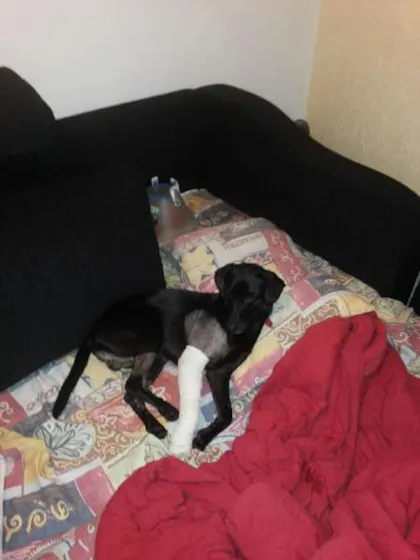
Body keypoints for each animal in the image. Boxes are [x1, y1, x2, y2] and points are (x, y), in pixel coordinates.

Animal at [53, 263, 284, 450]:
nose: (232, 327)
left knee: (132, 391)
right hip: (153, 337)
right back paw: (167, 409)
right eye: (228, 297)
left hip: (156, 357)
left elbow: (227, 412)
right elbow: (227, 413)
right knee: (132, 385)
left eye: (251, 299)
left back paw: (154, 424)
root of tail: (94, 331)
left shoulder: (221, 372)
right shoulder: (214, 372)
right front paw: (204, 438)